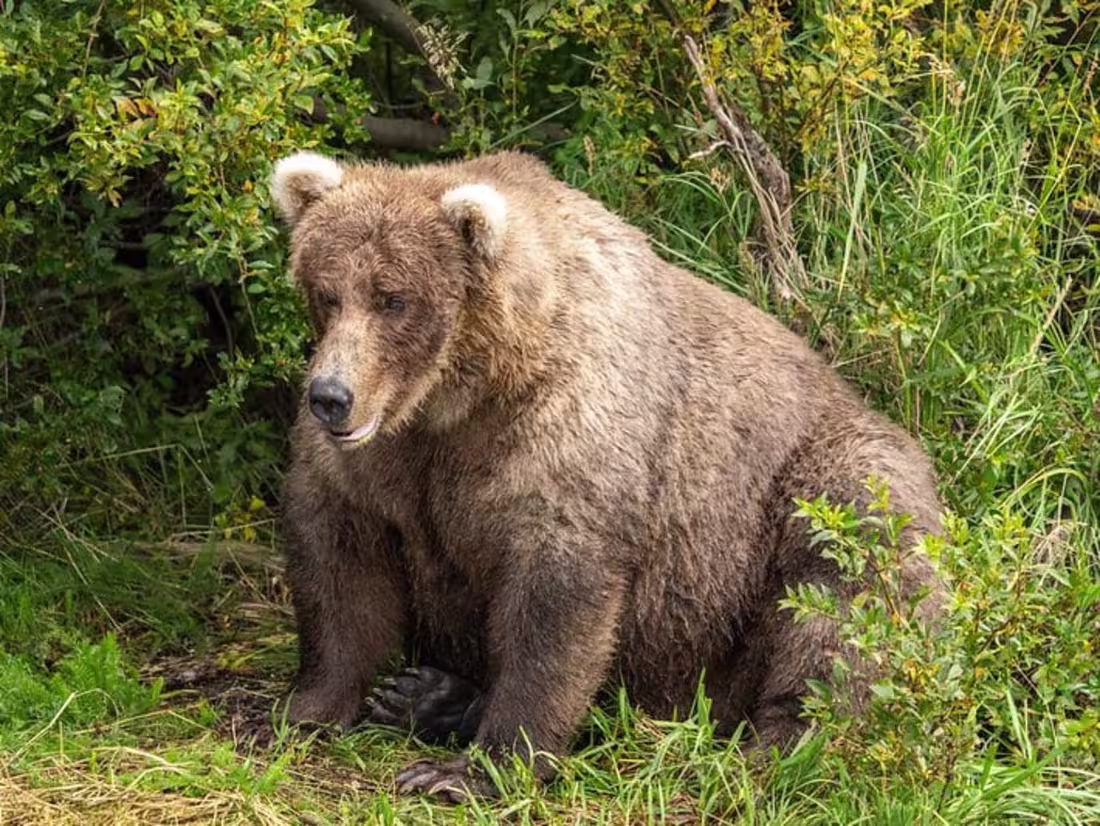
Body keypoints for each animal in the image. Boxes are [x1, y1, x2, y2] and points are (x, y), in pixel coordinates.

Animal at [269, 149, 944, 799]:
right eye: (327, 292)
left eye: (394, 298)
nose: (331, 396)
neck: (462, 396)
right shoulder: (385, 462)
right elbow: (339, 562)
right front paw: (301, 710)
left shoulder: (566, 436)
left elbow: (556, 600)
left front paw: (472, 769)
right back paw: (429, 695)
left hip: (811, 495)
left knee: (844, 596)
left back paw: (780, 748)